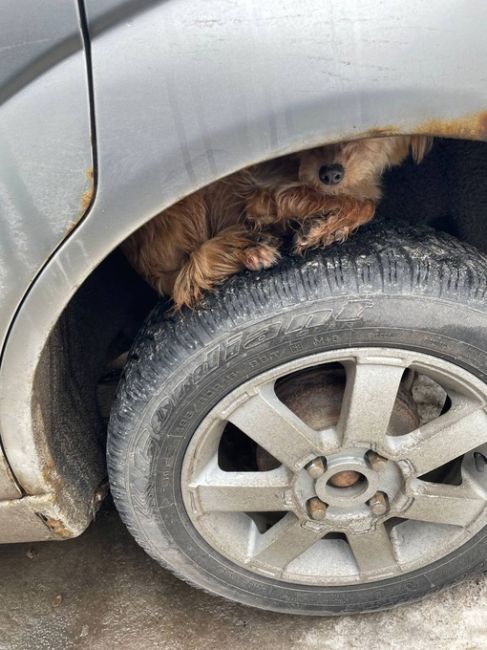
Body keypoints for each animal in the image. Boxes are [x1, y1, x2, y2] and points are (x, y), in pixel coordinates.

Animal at [122, 134, 430, 306]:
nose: (330, 173)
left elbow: (366, 204)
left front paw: (331, 228)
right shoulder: (267, 197)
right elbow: (363, 204)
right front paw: (321, 229)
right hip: (190, 204)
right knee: (188, 275)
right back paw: (251, 251)